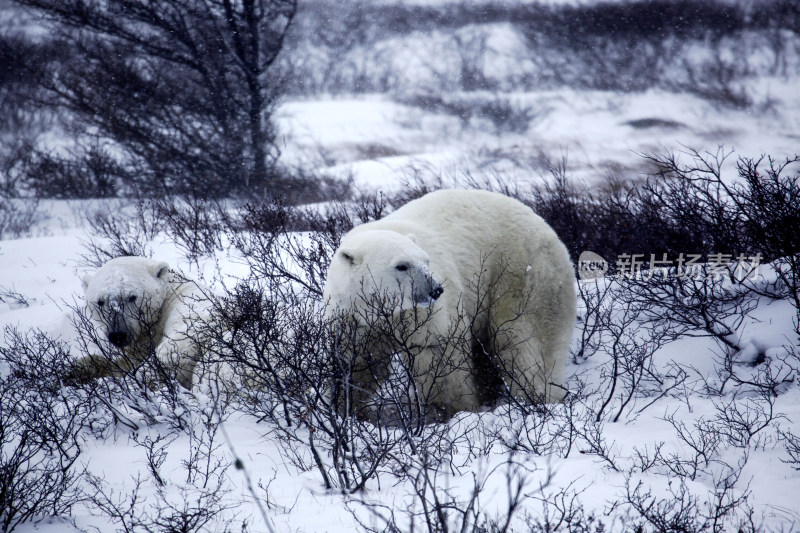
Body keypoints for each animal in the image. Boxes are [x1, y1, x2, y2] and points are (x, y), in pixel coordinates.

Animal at [73, 256, 209, 386]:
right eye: (100, 302)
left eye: (132, 297)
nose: (118, 335)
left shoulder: (151, 336)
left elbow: (127, 364)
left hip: (181, 344)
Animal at [322, 189, 580, 418]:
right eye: (401, 265)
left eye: (426, 260)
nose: (435, 289)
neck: (384, 311)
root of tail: (544, 224)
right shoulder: (354, 318)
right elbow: (356, 362)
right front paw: (344, 409)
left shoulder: (424, 314)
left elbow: (437, 356)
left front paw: (453, 411)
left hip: (522, 273)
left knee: (523, 339)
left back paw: (537, 398)